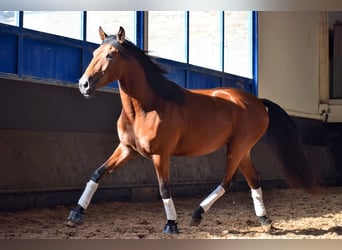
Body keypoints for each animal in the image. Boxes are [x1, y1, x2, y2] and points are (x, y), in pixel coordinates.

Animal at [67, 26, 318, 233]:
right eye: (93, 54)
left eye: (110, 54)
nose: (84, 85)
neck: (148, 107)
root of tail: (258, 102)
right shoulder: (127, 149)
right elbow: (97, 174)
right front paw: (75, 215)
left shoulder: (161, 155)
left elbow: (164, 188)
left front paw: (171, 225)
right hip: (242, 150)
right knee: (253, 179)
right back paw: (265, 221)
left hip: (237, 148)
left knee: (228, 181)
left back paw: (197, 215)